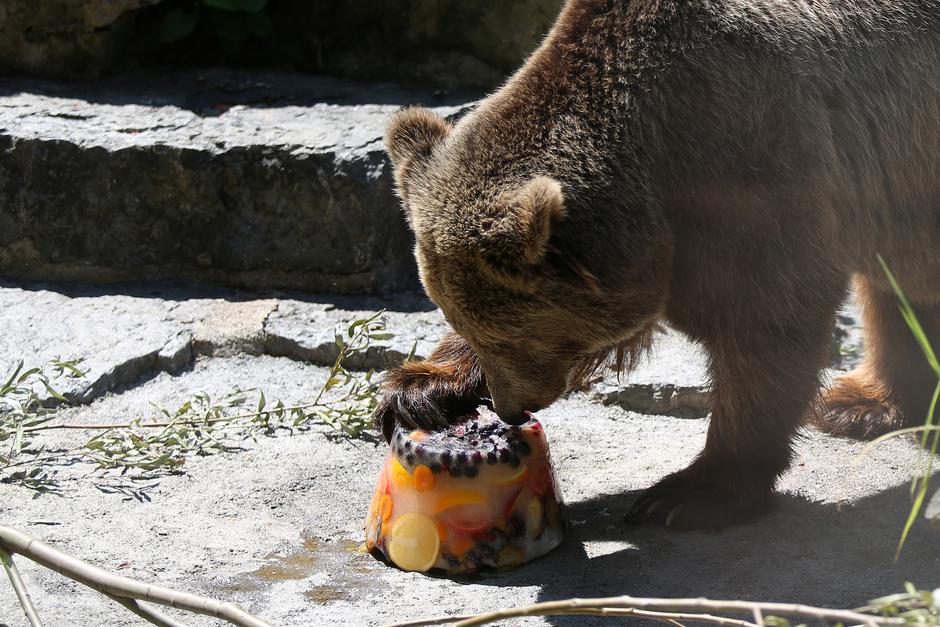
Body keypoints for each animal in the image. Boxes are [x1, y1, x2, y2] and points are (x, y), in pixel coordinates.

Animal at [370, 0, 940, 528]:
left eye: (511, 337)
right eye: (463, 321)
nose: (510, 405)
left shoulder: (755, 157)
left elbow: (768, 323)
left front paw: (694, 490)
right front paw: (417, 390)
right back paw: (865, 402)